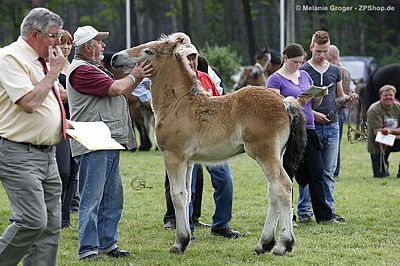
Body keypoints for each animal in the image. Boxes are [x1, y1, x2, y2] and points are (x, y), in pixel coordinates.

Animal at [111, 33, 306, 256]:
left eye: (148, 51)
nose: (115, 58)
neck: (178, 103)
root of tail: (285, 102)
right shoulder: (188, 161)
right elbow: (187, 194)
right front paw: (186, 238)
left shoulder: (173, 156)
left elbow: (177, 195)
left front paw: (179, 243)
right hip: (277, 154)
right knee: (274, 191)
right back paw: (264, 244)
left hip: (265, 153)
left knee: (283, 186)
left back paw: (283, 244)